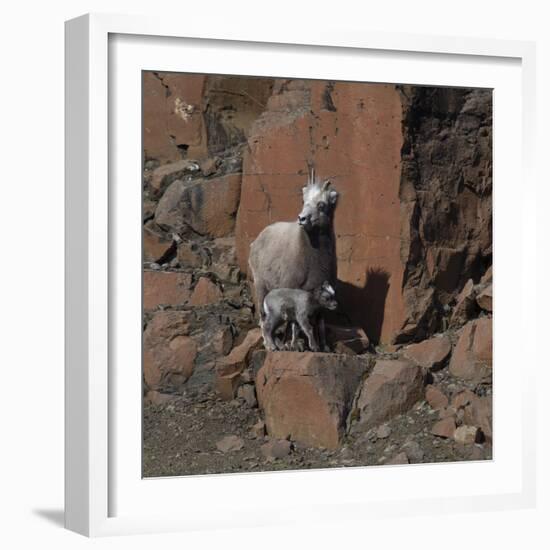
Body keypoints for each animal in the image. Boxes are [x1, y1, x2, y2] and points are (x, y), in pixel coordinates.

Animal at [248, 166, 338, 352]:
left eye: (322, 205)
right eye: (304, 202)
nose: (302, 219)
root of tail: (256, 242)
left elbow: (320, 323)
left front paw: (325, 348)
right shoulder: (294, 292)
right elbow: (295, 324)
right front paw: (294, 345)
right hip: (260, 287)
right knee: (263, 318)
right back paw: (271, 344)